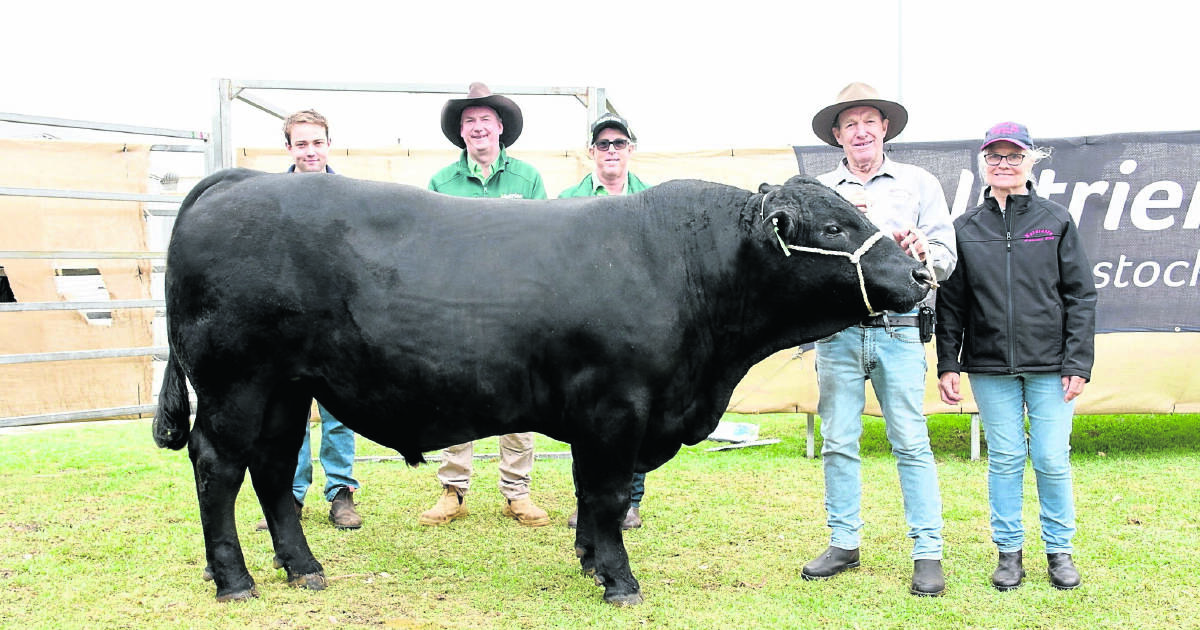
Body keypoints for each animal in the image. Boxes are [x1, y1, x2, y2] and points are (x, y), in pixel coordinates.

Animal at [150, 168, 931, 604]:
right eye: (835, 226)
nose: (921, 272)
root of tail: (241, 178)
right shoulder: (617, 409)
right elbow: (607, 495)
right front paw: (619, 580)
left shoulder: (603, 419)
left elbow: (591, 498)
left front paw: (589, 563)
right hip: (236, 383)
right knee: (219, 469)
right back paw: (236, 581)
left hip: (287, 387)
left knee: (273, 470)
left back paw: (303, 568)